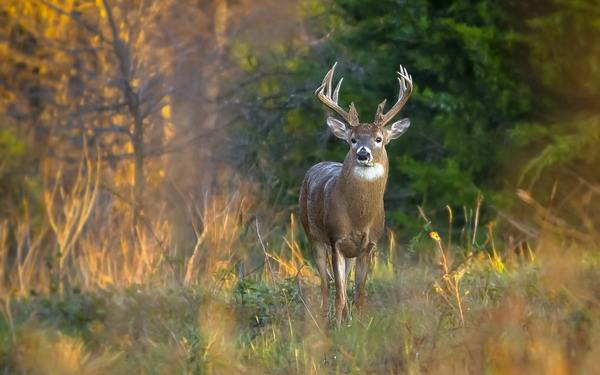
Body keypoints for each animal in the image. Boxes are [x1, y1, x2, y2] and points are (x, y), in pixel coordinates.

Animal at [298, 61, 412, 326]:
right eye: (352, 139)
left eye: (379, 139)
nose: (362, 153)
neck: (359, 217)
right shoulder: (336, 240)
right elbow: (339, 293)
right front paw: (339, 326)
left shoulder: (369, 245)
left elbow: (359, 293)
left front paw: (358, 325)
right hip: (312, 235)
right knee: (325, 284)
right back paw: (322, 320)